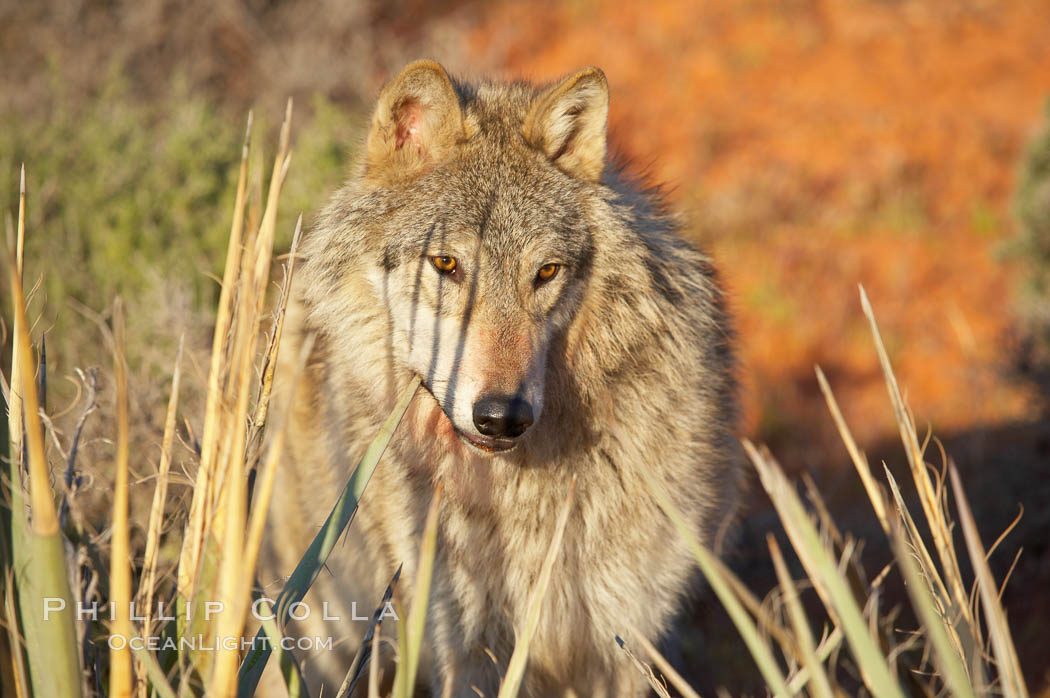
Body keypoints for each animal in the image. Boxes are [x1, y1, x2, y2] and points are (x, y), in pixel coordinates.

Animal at [259, 59, 743, 696]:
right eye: (446, 264)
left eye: (546, 272)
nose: (502, 417)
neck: (526, 492)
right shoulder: (461, 646)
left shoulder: (622, 637)